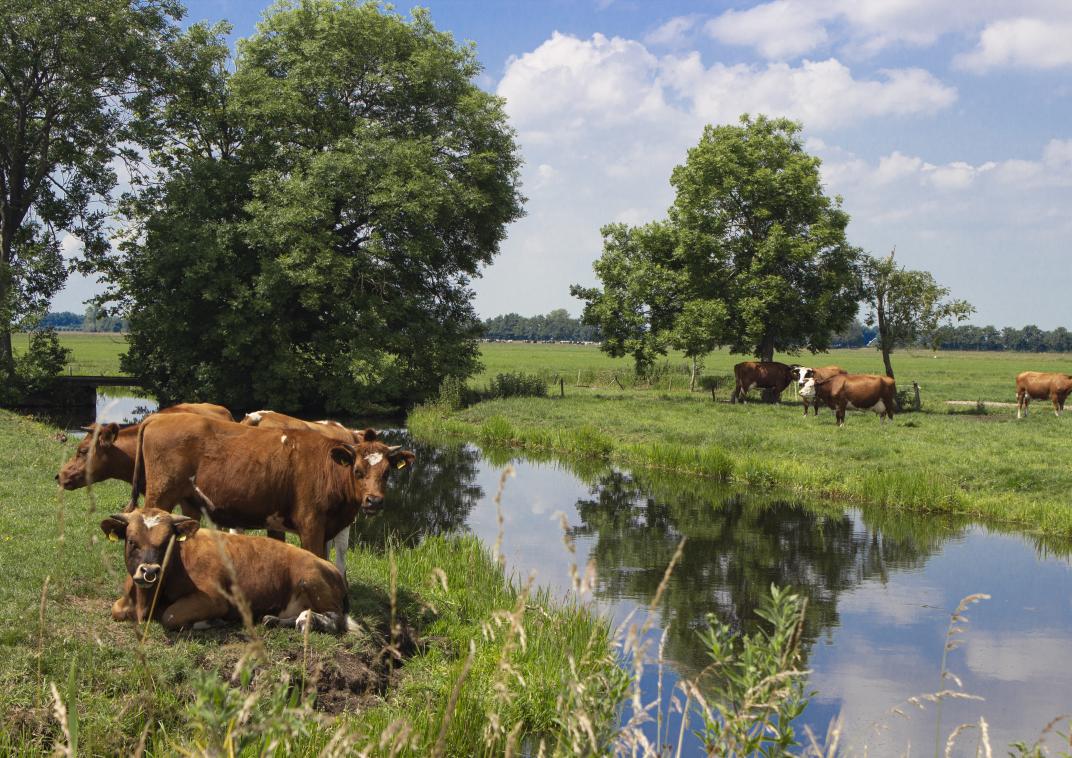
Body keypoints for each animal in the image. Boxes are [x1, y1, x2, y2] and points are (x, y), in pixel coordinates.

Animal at [101, 507, 357, 633]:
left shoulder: (216, 599)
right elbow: (116, 609)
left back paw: (307, 621)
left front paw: (210, 622)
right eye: (132, 541)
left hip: (311, 581)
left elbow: (170, 616)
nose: (149, 571)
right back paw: (273, 619)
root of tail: (330, 566)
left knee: (335, 620)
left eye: (167, 543)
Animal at [126, 413, 415, 578]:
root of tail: (157, 418)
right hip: (160, 495)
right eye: (357, 470)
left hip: (190, 503)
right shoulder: (312, 525)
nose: (374, 501)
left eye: (387, 472)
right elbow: (318, 561)